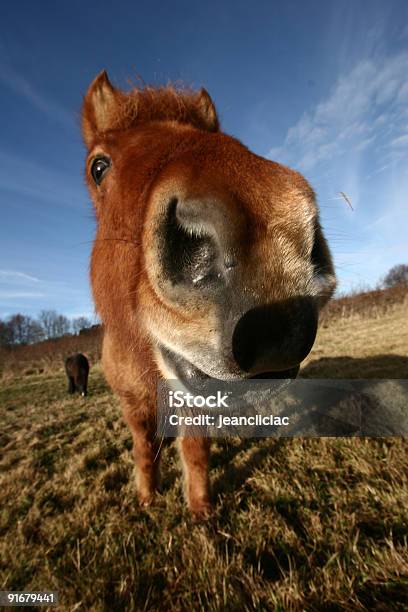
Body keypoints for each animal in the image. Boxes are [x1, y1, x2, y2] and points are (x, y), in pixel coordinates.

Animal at [82, 69, 334, 512]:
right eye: (98, 166)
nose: (272, 245)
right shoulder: (134, 407)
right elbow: (144, 448)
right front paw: (147, 497)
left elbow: (196, 450)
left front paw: (200, 510)